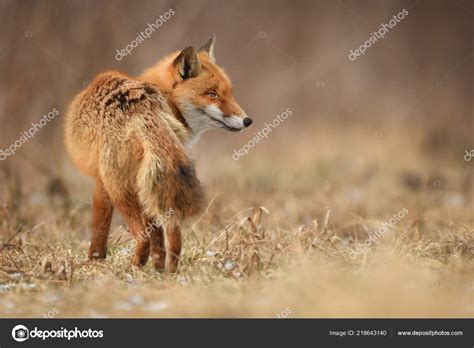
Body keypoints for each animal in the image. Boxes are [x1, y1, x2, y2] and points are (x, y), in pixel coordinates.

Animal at [65, 36, 256, 274]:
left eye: (230, 93)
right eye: (212, 95)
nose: (248, 121)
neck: (168, 100)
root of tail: (141, 109)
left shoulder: (103, 184)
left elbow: (99, 229)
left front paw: (94, 262)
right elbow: (159, 237)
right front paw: (157, 266)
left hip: (122, 190)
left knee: (144, 236)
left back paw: (134, 270)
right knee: (173, 236)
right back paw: (169, 272)